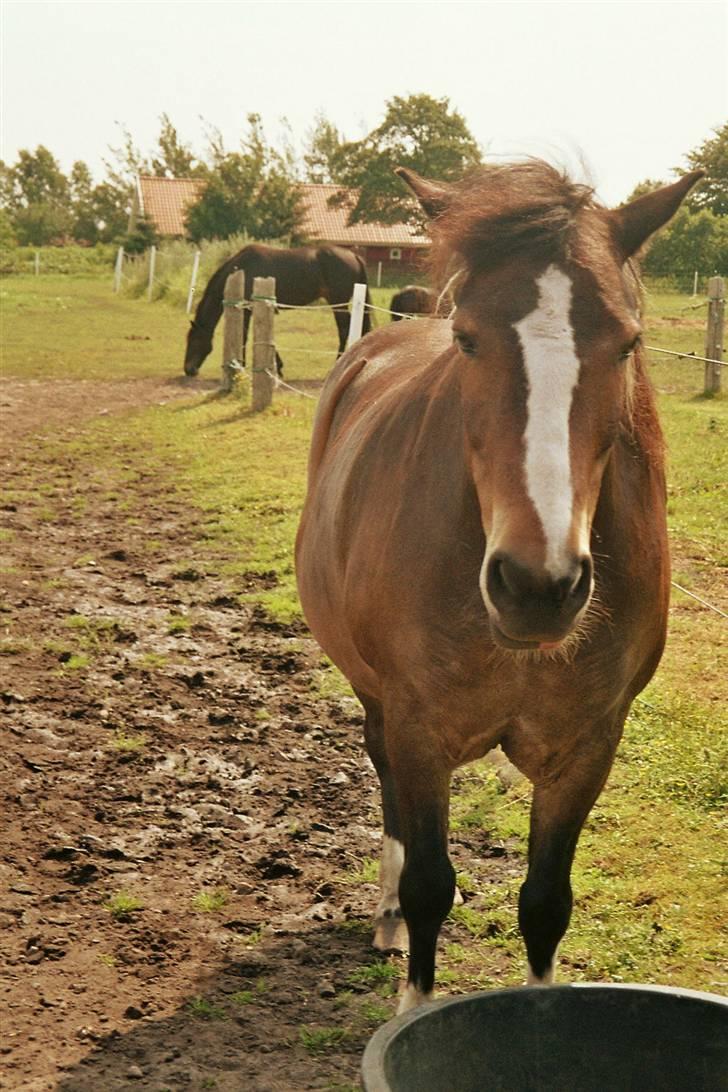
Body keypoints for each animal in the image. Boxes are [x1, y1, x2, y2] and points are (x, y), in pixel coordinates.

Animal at [183, 243, 372, 377]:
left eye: (194, 340)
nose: (188, 370)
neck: (242, 268)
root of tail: (354, 255)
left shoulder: (248, 310)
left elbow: (245, 336)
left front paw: (241, 365)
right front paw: (278, 367)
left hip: (338, 303)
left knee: (344, 330)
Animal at [296, 161, 702, 1013]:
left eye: (628, 342)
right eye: (468, 339)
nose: (536, 584)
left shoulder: (588, 745)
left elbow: (546, 901)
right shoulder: (418, 729)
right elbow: (428, 885)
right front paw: (412, 995)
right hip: (378, 704)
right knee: (387, 792)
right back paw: (384, 915)